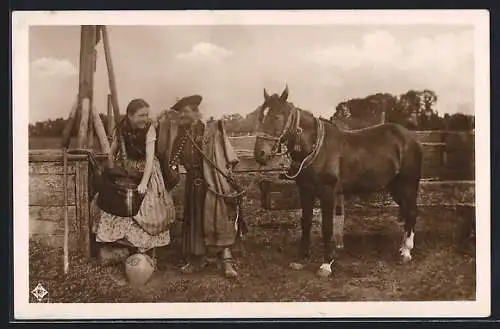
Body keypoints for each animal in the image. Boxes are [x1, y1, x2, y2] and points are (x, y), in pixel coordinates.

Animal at [254, 86, 422, 276]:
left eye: (277, 116)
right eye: (260, 116)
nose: (259, 154)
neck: (316, 147)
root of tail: (411, 137)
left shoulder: (327, 192)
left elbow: (327, 227)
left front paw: (326, 264)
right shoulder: (305, 190)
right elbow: (306, 221)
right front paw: (301, 257)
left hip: (408, 184)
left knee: (412, 212)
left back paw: (406, 252)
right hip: (396, 187)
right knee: (407, 211)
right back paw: (402, 248)